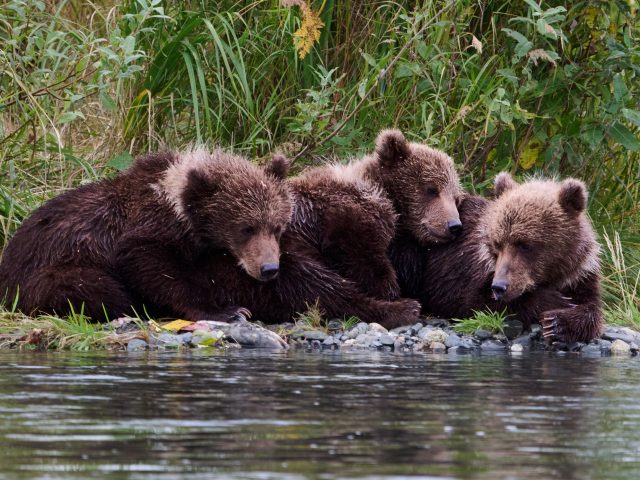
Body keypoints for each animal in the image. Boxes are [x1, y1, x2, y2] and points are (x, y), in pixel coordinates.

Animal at [0, 148, 293, 321]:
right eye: (246, 228)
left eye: (277, 227)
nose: (269, 268)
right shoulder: (145, 231)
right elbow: (152, 269)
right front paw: (227, 310)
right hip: (49, 272)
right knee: (91, 287)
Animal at [400, 172, 603, 344]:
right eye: (498, 243)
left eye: (525, 244)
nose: (499, 287)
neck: (551, 277)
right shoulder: (466, 268)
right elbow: (470, 301)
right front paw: (554, 302)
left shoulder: (580, 274)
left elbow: (592, 308)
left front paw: (558, 323)